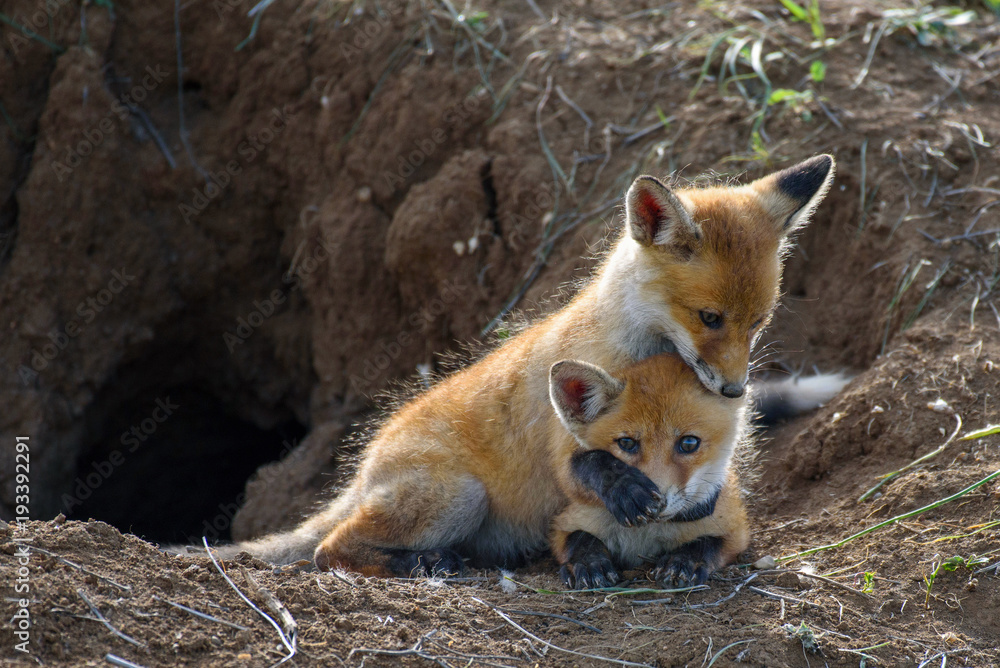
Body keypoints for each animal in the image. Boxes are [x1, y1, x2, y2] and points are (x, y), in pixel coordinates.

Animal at [547, 354, 749, 589]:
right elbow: (580, 538)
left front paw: (683, 561)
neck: (643, 536)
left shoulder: (735, 530)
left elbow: (705, 543)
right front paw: (589, 562)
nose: (660, 502)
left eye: (689, 443)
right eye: (626, 443)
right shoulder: (567, 522)